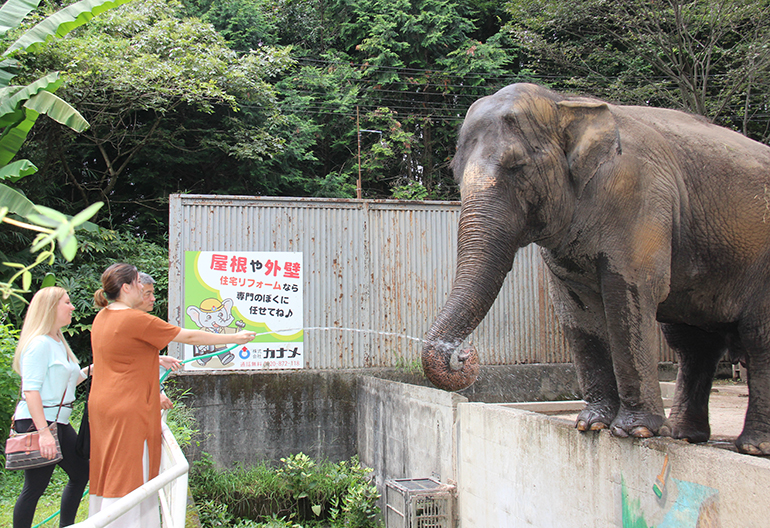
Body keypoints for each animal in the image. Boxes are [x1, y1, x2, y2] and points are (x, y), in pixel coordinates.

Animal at [420, 82, 768, 454]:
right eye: (454, 171)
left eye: (517, 166)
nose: (464, 354)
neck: (565, 104)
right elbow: (576, 307)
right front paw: (591, 425)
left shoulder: (638, 195)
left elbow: (630, 289)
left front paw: (635, 431)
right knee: (692, 342)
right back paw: (684, 436)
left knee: (757, 336)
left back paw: (752, 447)